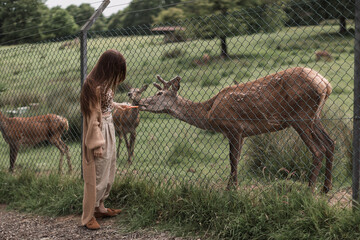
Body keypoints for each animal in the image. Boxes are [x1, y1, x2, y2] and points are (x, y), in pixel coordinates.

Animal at [139, 67, 336, 193]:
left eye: (159, 93)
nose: (140, 102)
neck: (209, 113)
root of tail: (326, 84)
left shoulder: (233, 127)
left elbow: (233, 159)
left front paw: (231, 189)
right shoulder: (242, 133)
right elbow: (237, 158)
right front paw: (232, 185)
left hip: (301, 115)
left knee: (318, 150)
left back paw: (310, 190)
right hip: (314, 116)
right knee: (331, 143)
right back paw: (326, 188)